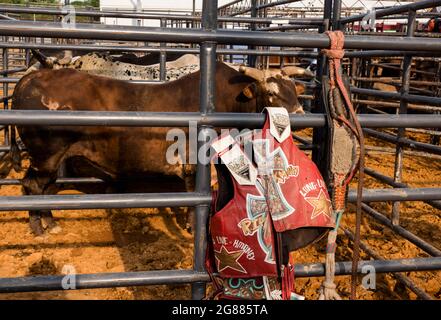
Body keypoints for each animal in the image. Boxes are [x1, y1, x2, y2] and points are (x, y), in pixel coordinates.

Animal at [12, 62, 312, 236]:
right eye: (271, 93)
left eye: (294, 91)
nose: (299, 117)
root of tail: (31, 78)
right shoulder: (194, 163)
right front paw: (193, 226)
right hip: (46, 155)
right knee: (32, 186)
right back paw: (40, 227)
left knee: (43, 188)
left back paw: (49, 221)